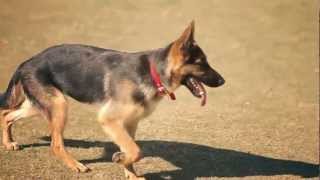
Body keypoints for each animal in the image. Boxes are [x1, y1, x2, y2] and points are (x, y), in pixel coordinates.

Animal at [0, 21, 224, 179]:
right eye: (202, 63)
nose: (223, 81)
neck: (153, 73)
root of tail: (26, 62)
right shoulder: (109, 120)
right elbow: (136, 150)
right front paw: (121, 159)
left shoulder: (130, 122)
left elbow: (132, 150)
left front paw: (130, 172)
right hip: (58, 105)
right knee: (55, 144)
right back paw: (75, 165)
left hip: (41, 105)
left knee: (7, 114)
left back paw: (9, 143)